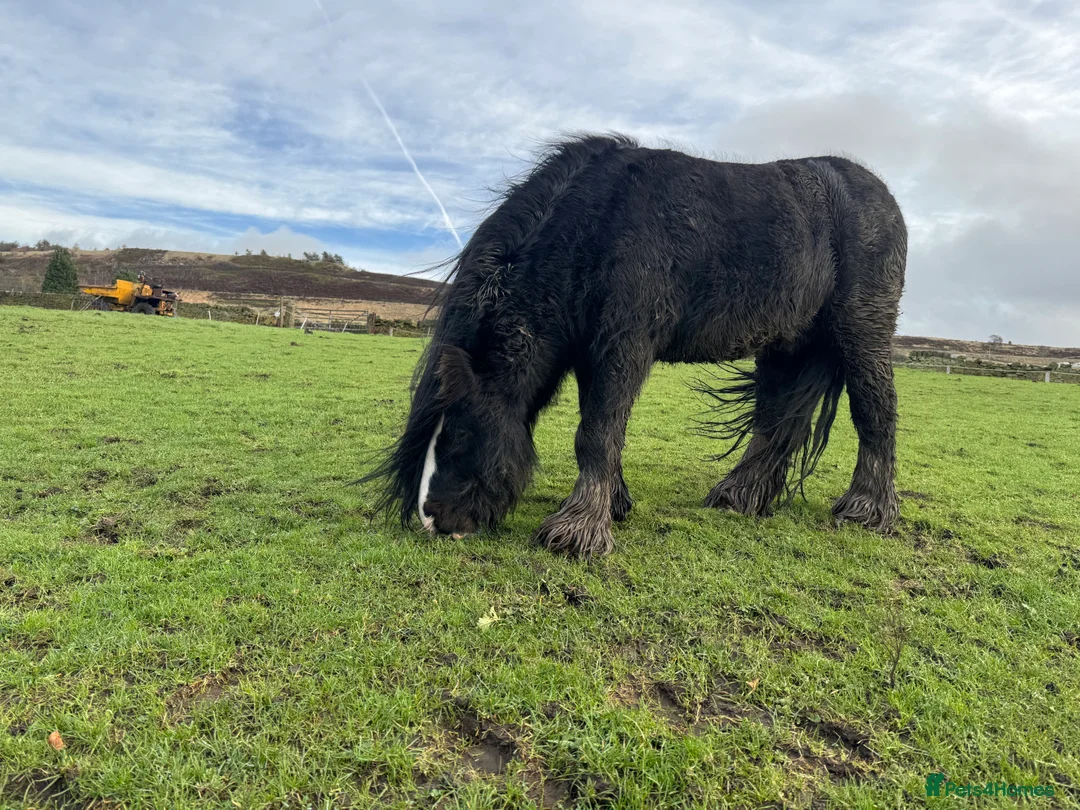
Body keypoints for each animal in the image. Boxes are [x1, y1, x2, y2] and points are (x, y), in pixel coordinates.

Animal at [362, 134, 907, 558]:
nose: (434, 519)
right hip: (786, 347)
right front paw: (613, 505)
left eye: (457, 434)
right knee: (775, 422)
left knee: (875, 412)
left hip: (861, 333)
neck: (596, 226)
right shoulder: (592, 353)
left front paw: (577, 532)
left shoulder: (624, 346)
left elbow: (596, 434)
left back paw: (866, 509)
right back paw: (739, 498)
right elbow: (600, 428)